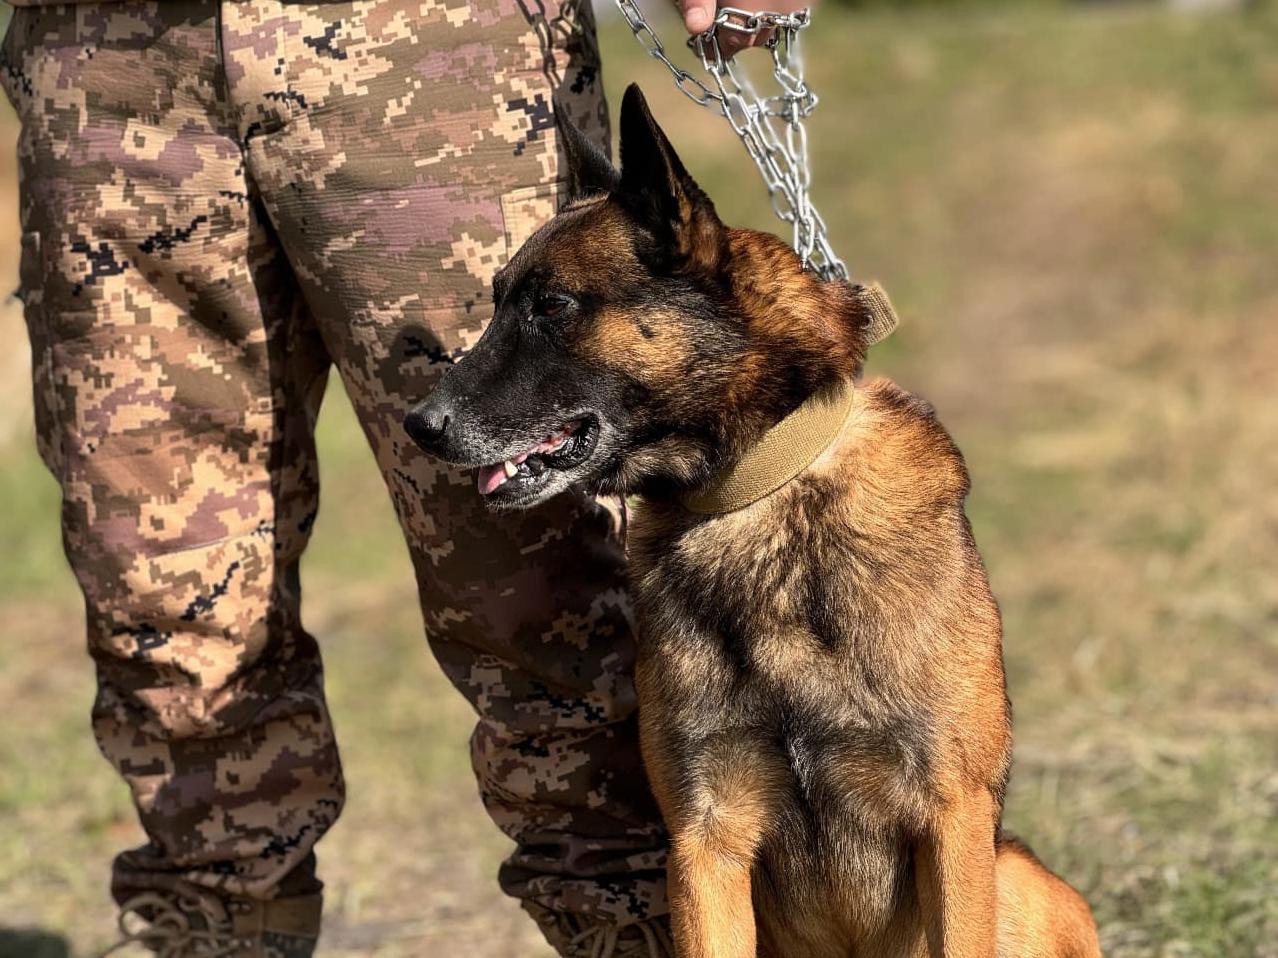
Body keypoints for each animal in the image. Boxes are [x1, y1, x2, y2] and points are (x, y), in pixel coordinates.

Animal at [403, 84, 1104, 958]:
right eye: (499, 302)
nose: (419, 424)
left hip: (1026, 880)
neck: (754, 504)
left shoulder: (953, 819)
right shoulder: (705, 842)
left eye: (552, 306)